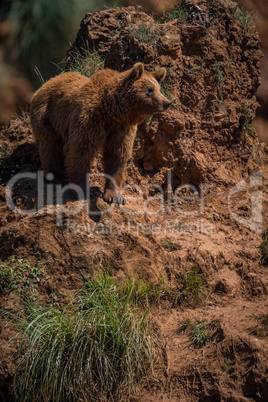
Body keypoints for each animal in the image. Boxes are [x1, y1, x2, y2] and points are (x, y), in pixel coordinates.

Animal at [30, 62, 171, 204]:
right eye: (150, 89)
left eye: (159, 88)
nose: (167, 102)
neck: (111, 111)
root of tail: (44, 85)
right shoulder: (88, 120)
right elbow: (80, 151)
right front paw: (86, 190)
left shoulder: (122, 128)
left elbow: (117, 155)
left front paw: (114, 196)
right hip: (47, 116)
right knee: (50, 145)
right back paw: (57, 175)